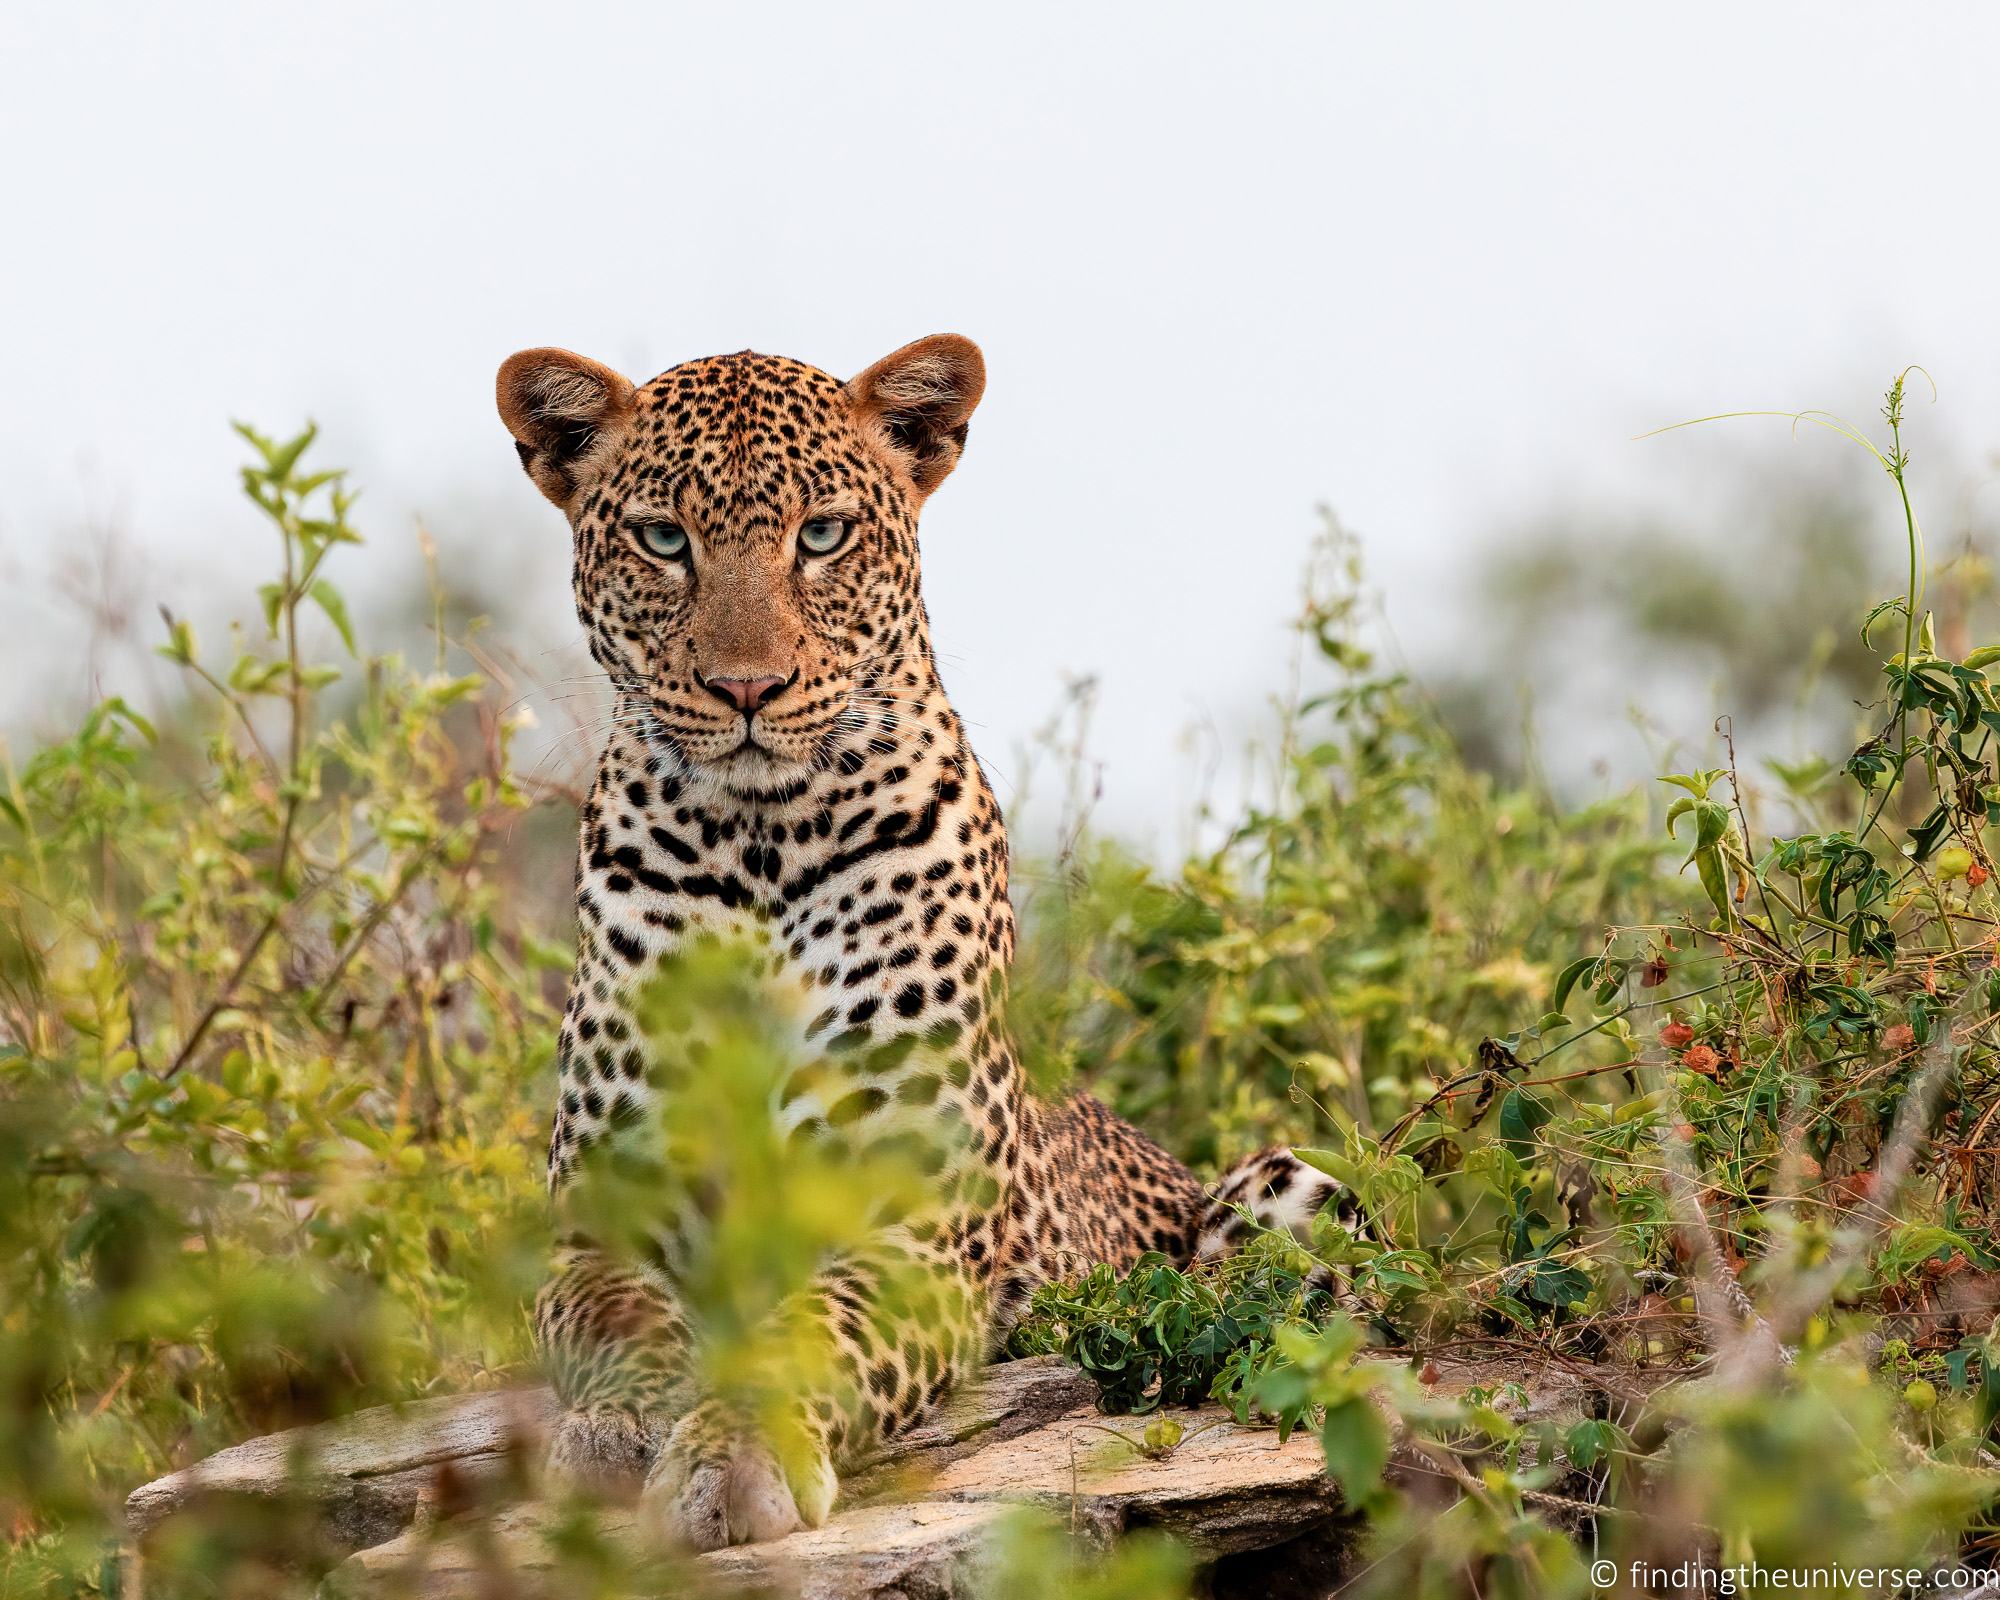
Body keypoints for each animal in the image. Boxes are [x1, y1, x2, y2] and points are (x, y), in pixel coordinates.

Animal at [495, 334, 1348, 1552]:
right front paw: (614, 1433)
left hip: (1286, 1184)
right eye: (664, 540)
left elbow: (814, 1329)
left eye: (822, 534)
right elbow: (623, 1325)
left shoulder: (913, 1222)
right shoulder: (602, 1220)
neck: (759, 839)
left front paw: (733, 1458)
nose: (746, 687)